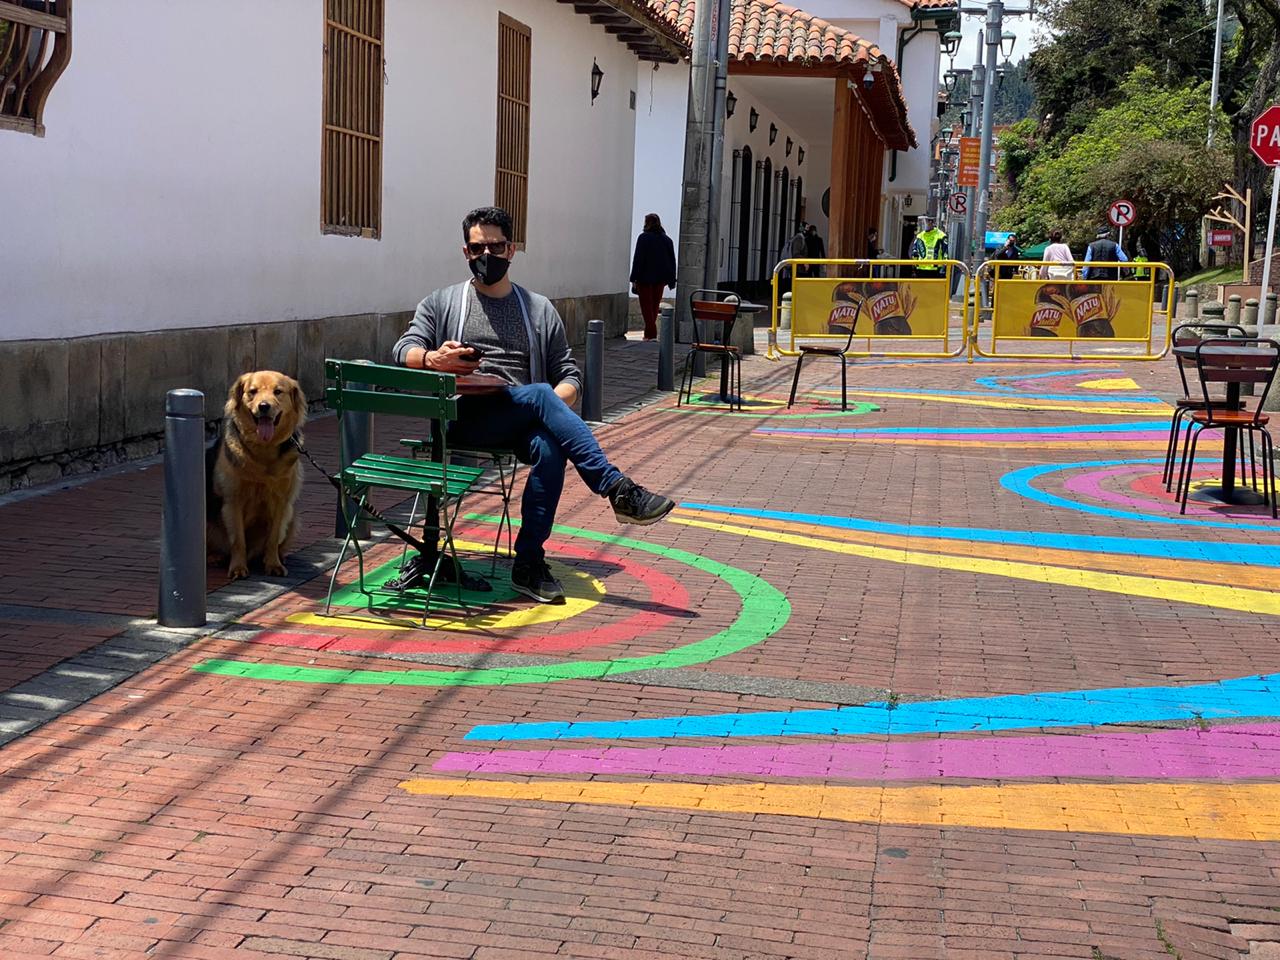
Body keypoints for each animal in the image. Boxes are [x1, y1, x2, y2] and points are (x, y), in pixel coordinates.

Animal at [211, 371, 311, 578]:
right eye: (252, 391)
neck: (264, 450)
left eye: (278, 391)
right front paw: (238, 568)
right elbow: (238, 540)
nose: (264, 406)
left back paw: (280, 557)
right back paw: (215, 557)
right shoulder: (233, 501)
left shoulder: (281, 501)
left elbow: (273, 538)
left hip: (292, 514)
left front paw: (273, 564)